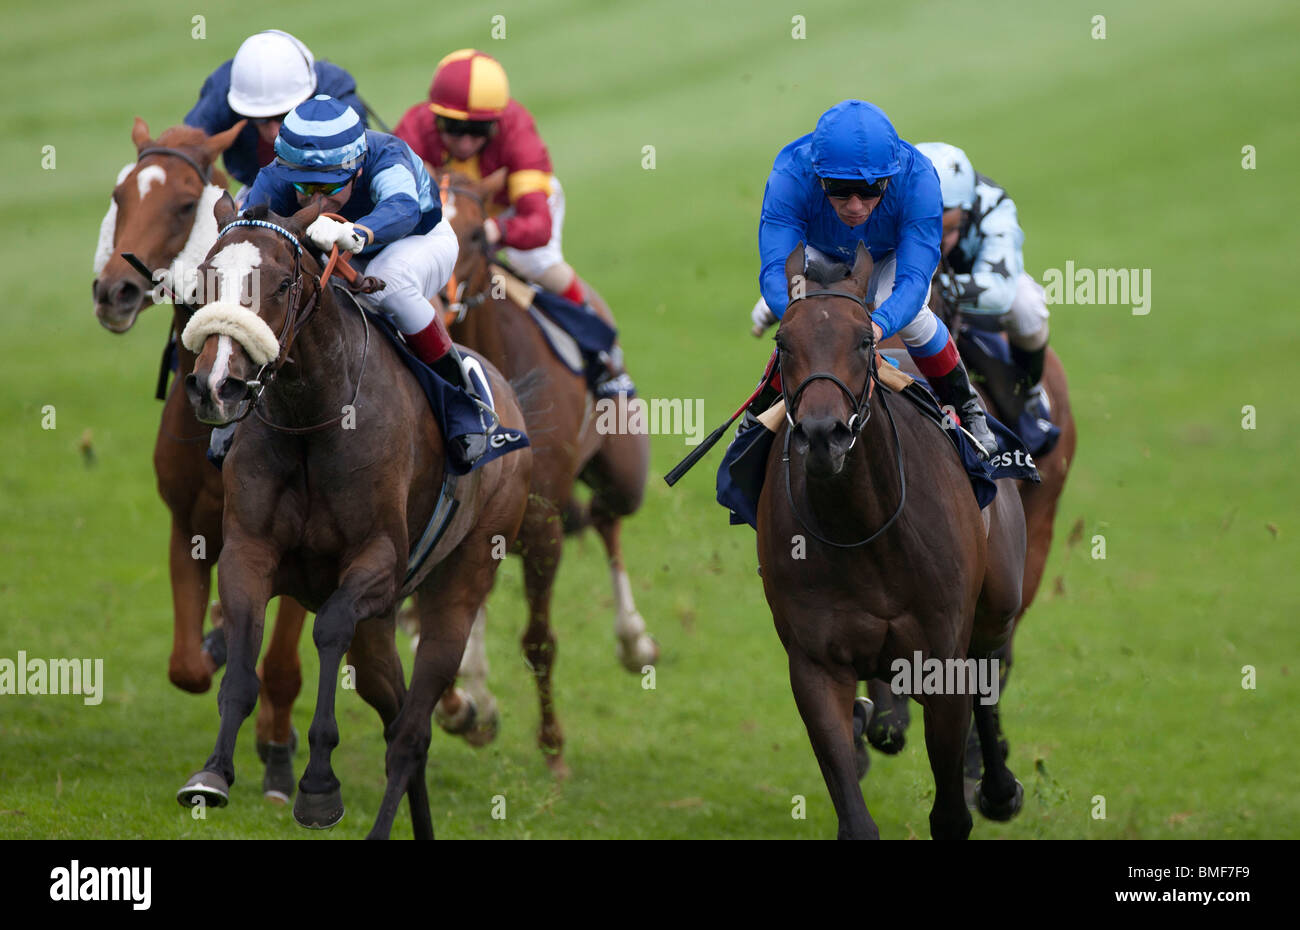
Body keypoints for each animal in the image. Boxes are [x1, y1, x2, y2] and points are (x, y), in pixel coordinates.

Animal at [91, 116, 309, 801]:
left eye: (185, 204)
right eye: (120, 195)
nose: (114, 291)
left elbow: (282, 664)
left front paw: (277, 756)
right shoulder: (186, 523)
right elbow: (188, 665)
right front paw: (213, 643)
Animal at [178, 200, 533, 842]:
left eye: (284, 282)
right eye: (206, 279)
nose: (217, 386)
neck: (313, 415)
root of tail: (509, 402)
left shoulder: (377, 562)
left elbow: (327, 629)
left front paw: (318, 788)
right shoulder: (248, 551)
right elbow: (242, 660)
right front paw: (212, 774)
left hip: (461, 583)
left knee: (411, 734)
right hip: (382, 627)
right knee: (396, 711)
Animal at [421, 174, 655, 780]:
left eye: (477, 235)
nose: (433, 303)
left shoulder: (544, 521)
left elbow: (539, 641)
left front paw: (554, 750)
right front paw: (466, 709)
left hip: (622, 471)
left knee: (607, 518)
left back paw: (634, 642)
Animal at [759, 243, 1024, 842]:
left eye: (863, 340)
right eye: (784, 344)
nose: (822, 435)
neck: (862, 529)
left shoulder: (942, 657)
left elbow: (950, 814)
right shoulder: (814, 664)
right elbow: (854, 812)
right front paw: (862, 726)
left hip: (997, 602)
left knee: (990, 668)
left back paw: (999, 786)